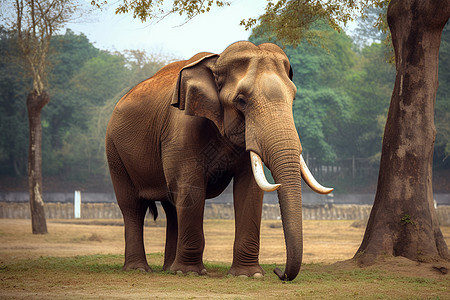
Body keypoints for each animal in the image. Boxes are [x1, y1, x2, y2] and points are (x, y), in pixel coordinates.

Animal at [104, 40, 330, 282]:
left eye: (293, 98)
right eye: (241, 101)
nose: (278, 272)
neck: (216, 62)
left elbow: (249, 189)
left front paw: (248, 275)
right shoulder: (181, 131)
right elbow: (191, 187)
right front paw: (190, 273)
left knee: (172, 206)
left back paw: (169, 268)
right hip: (114, 151)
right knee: (132, 206)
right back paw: (140, 269)